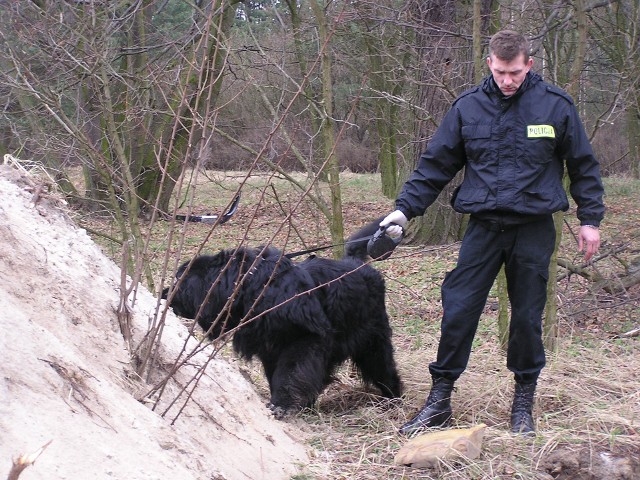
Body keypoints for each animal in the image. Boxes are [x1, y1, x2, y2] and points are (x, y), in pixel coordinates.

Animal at [165, 225, 402, 416]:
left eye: (179, 281)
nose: (164, 293)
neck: (249, 288)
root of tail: (358, 264)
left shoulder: (304, 339)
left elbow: (291, 372)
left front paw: (283, 405)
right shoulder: (269, 347)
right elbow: (276, 374)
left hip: (371, 338)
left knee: (382, 366)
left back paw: (393, 397)